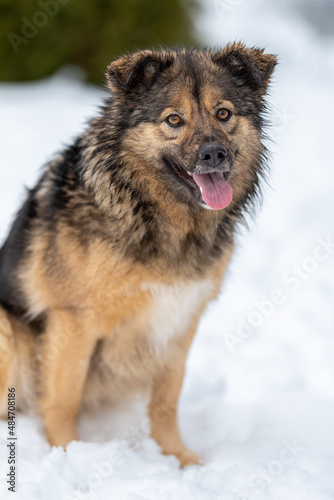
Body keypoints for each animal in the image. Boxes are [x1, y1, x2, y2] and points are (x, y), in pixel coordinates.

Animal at [0, 45, 276, 466]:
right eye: (174, 119)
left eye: (223, 113)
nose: (214, 154)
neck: (158, 218)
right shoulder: (74, 320)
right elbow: (64, 396)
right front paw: (68, 453)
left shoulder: (180, 319)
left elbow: (166, 401)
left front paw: (177, 458)